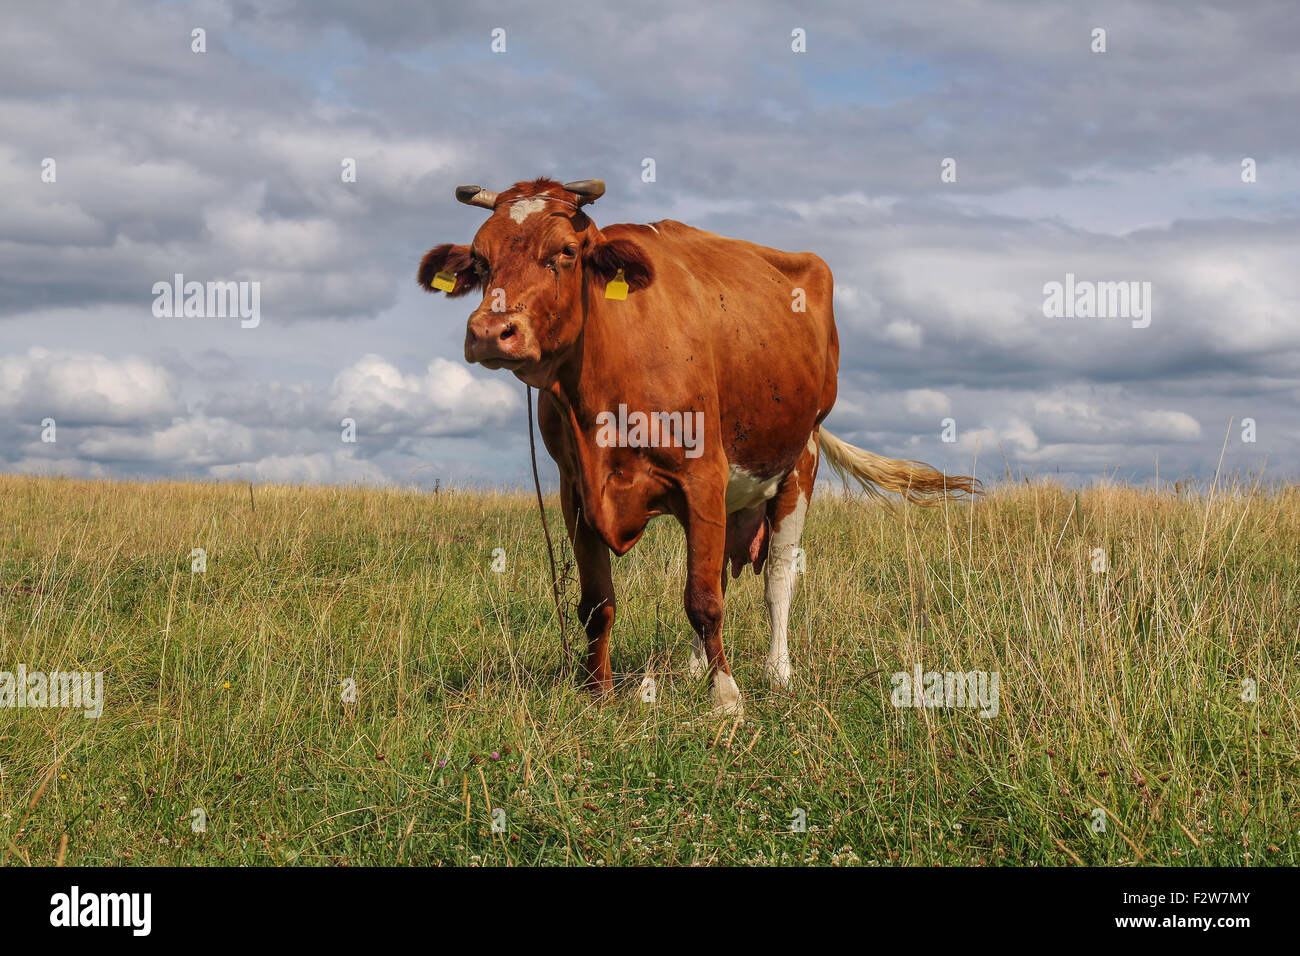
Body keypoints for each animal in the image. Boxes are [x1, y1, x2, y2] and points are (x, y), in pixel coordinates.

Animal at [419, 177, 978, 714]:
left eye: (566, 251)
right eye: (480, 260)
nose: (491, 331)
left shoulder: (703, 473)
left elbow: (705, 599)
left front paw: (726, 696)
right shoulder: (574, 488)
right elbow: (599, 602)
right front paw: (597, 692)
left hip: (801, 458)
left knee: (778, 577)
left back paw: (778, 672)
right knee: (722, 572)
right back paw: (693, 668)